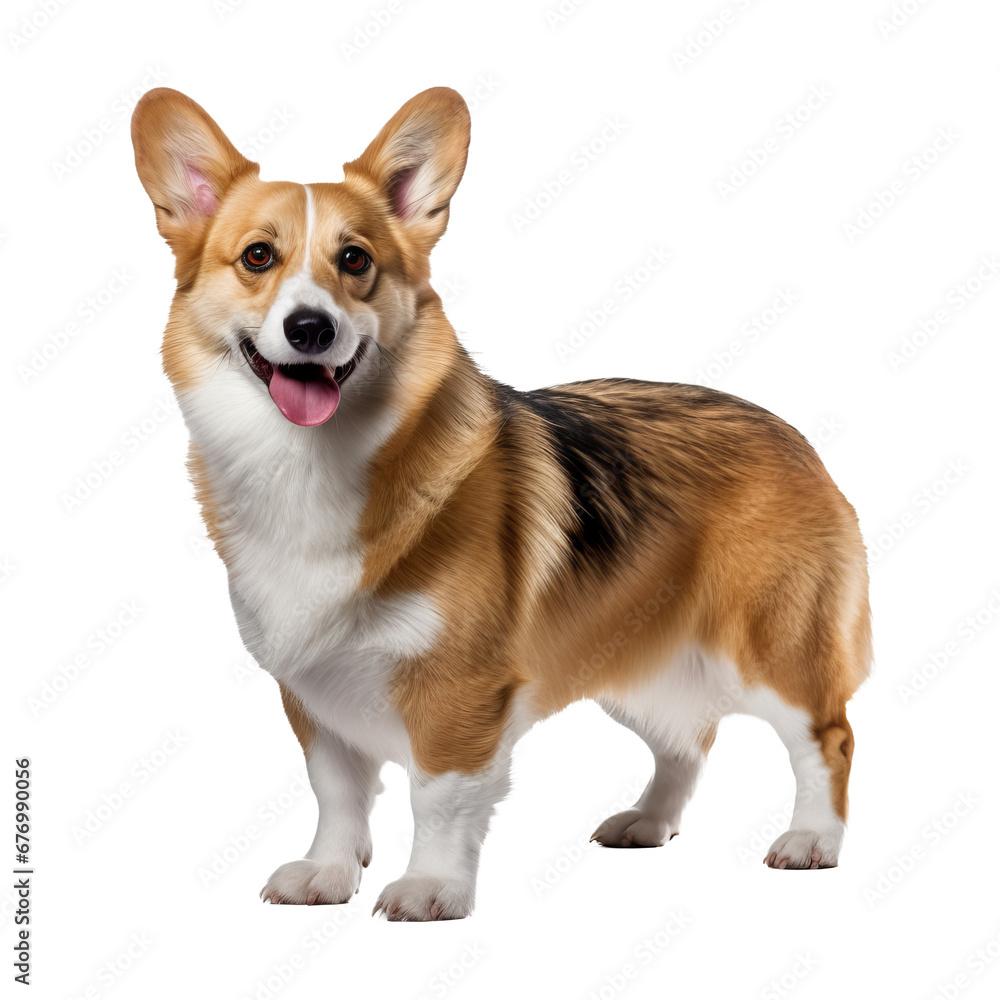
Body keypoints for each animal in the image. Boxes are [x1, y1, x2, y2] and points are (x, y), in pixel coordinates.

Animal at [131, 88, 868, 920]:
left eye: (355, 260)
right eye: (258, 256)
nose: (310, 328)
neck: (312, 466)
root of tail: (791, 434)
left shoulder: (460, 694)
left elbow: (438, 798)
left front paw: (430, 888)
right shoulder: (312, 692)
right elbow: (337, 794)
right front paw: (327, 874)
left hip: (772, 651)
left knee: (827, 738)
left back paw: (812, 840)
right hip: (633, 663)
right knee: (688, 743)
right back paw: (648, 822)